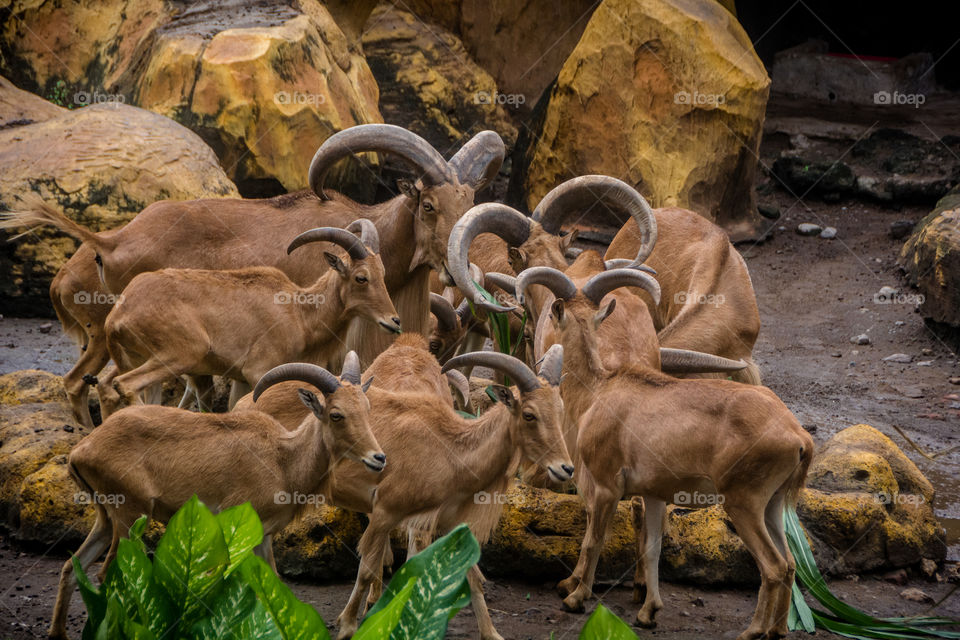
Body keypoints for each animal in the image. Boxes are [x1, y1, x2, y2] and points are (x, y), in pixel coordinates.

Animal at [49, 355, 384, 640]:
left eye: (368, 409)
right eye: (336, 414)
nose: (378, 458)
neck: (283, 460)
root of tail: (81, 451)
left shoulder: (262, 535)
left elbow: (272, 583)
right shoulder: (235, 522)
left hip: (105, 517)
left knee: (71, 568)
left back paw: (58, 632)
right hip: (129, 515)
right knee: (107, 574)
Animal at [96, 221, 398, 418]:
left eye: (382, 273)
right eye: (361, 277)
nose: (394, 321)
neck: (300, 313)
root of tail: (117, 315)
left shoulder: (240, 378)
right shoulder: (258, 371)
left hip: (137, 359)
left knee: (106, 386)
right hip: (179, 354)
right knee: (124, 385)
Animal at [514, 265, 813, 640]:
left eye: (552, 320)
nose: (538, 356)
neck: (599, 390)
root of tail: (798, 435)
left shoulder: (605, 485)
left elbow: (594, 538)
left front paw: (575, 597)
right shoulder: (654, 494)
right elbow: (652, 548)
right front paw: (648, 613)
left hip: (744, 501)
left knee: (772, 566)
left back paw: (752, 631)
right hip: (772, 504)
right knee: (790, 564)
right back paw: (777, 630)